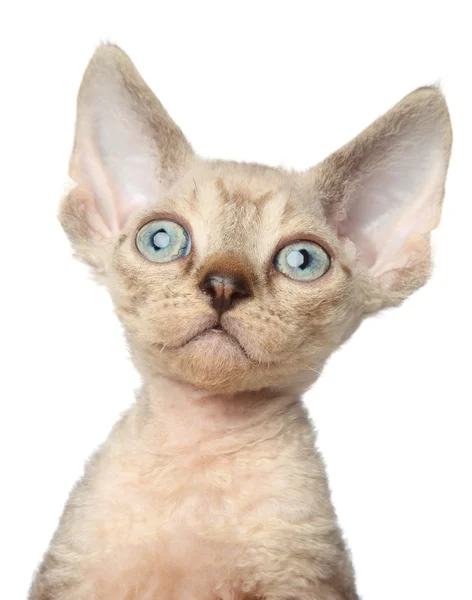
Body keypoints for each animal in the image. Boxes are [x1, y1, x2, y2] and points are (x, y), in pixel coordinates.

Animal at [28, 43, 450, 600]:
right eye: (160, 240)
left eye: (302, 261)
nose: (224, 284)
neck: (200, 447)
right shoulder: (68, 575)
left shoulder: (300, 577)